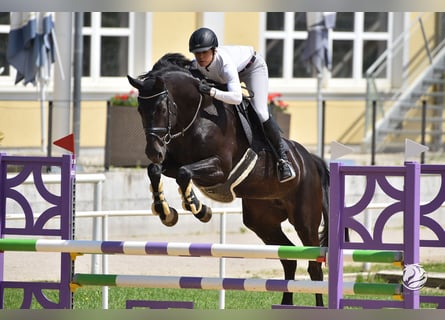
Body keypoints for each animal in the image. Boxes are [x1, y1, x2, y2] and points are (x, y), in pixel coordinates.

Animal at [128, 53, 330, 306]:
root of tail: (311, 161)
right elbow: (156, 171)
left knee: (314, 265)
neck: (198, 116)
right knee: (288, 258)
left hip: (305, 220)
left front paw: (199, 208)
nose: (153, 151)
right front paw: (167, 212)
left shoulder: (220, 168)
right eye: (139, 109)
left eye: (162, 108)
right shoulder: (172, 164)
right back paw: (285, 305)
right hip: (262, 221)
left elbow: (185, 173)